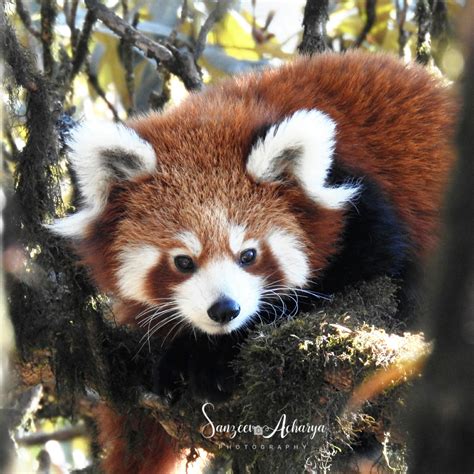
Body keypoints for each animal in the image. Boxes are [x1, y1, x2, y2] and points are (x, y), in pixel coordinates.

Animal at [50, 50, 458, 472]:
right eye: (183, 262)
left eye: (248, 255)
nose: (224, 310)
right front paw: (178, 354)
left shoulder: (367, 212)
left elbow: (367, 284)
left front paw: (210, 359)